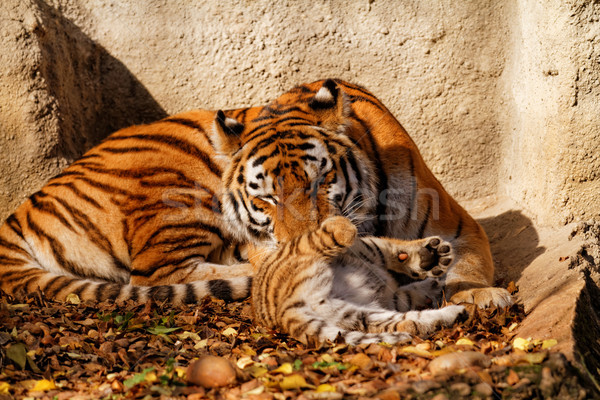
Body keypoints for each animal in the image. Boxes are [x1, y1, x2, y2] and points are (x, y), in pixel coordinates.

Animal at [0, 79, 510, 308]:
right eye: (265, 199)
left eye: (319, 182)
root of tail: (18, 214)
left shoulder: (457, 223)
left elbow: (469, 263)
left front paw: (479, 294)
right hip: (178, 194)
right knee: (156, 277)